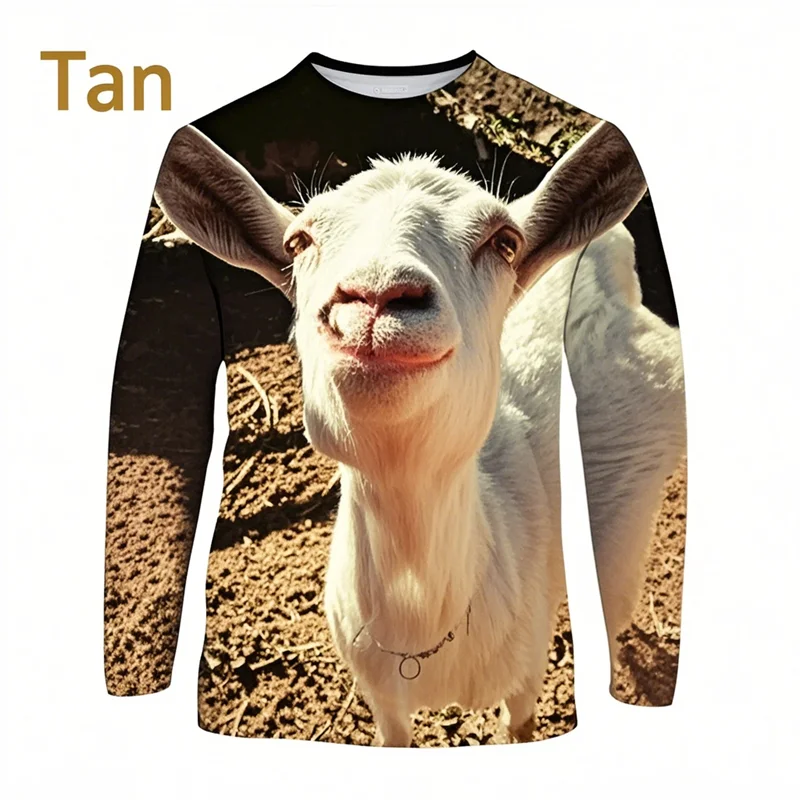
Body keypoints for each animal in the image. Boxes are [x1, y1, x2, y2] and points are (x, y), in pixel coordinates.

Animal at [154, 121, 686, 746]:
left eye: (504, 242)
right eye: (298, 243)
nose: (378, 296)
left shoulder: (526, 674)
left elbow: (522, 724)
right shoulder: (380, 694)